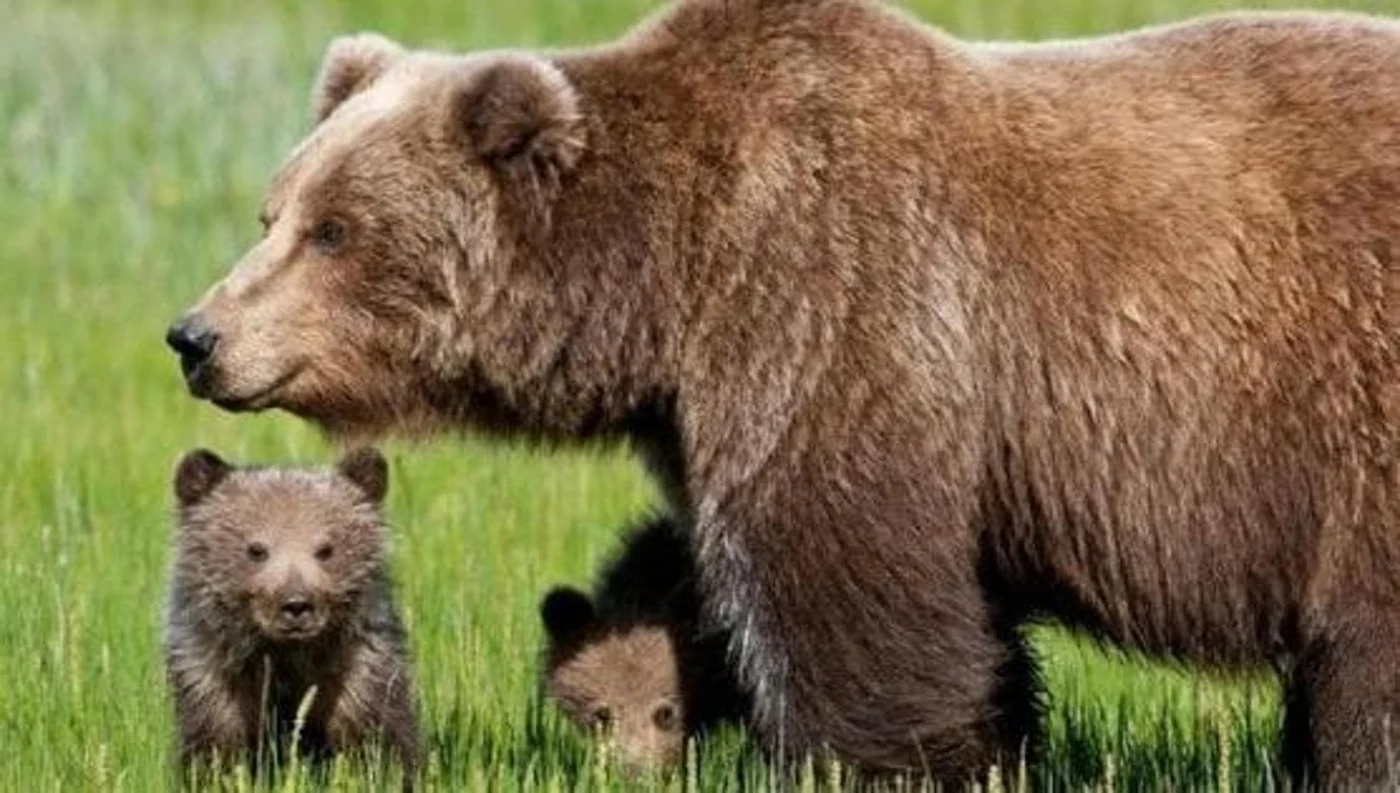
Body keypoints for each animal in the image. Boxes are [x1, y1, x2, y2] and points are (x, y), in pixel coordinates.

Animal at [163, 447, 420, 783]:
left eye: (325, 549)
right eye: (256, 549)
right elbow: (214, 749)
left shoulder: (357, 671)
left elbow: (382, 740)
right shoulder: (213, 678)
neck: (287, 657)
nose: (296, 604)